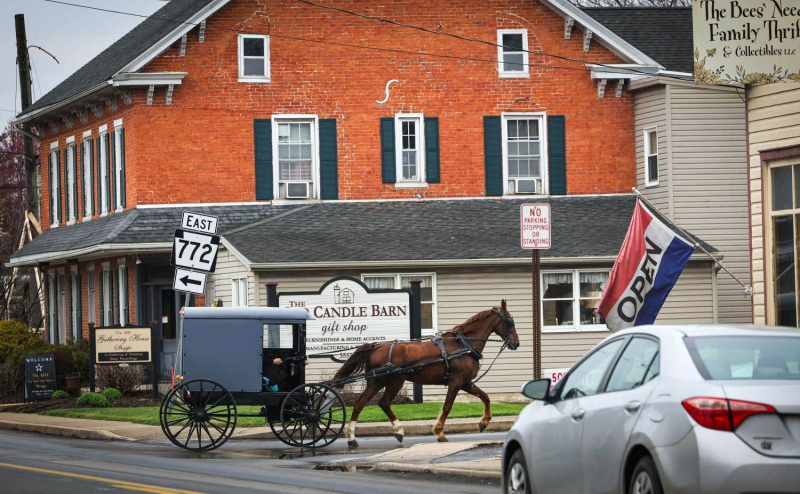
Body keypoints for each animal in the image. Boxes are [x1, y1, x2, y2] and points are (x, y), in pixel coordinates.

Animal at [330, 300, 520, 446]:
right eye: (510, 321)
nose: (516, 343)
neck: (464, 344)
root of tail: (375, 346)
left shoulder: (466, 382)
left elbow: (485, 397)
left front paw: (484, 421)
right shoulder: (456, 382)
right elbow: (447, 406)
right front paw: (440, 432)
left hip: (376, 381)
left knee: (360, 403)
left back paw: (352, 438)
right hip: (395, 381)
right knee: (384, 403)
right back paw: (398, 430)